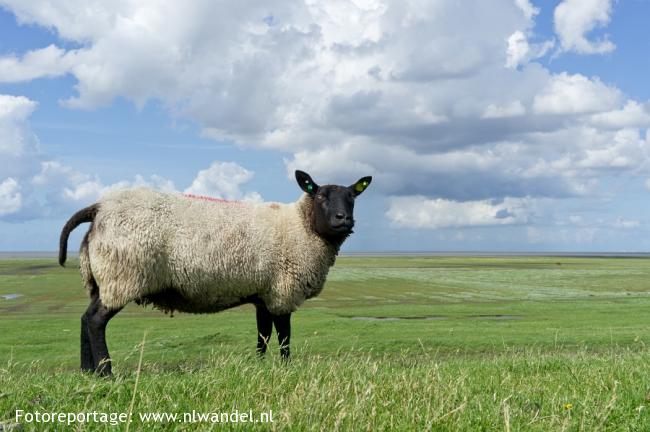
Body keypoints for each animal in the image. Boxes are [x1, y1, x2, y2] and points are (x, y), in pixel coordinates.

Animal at [60, 170, 374, 376]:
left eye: (352, 198)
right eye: (320, 196)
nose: (344, 219)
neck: (301, 225)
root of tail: (99, 208)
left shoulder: (264, 293)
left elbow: (263, 334)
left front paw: (259, 365)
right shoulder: (283, 290)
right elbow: (284, 335)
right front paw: (286, 368)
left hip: (101, 278)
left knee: (85, 318)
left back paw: (87, 372)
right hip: (122, 274)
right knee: (96, 321)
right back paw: (106, 373)